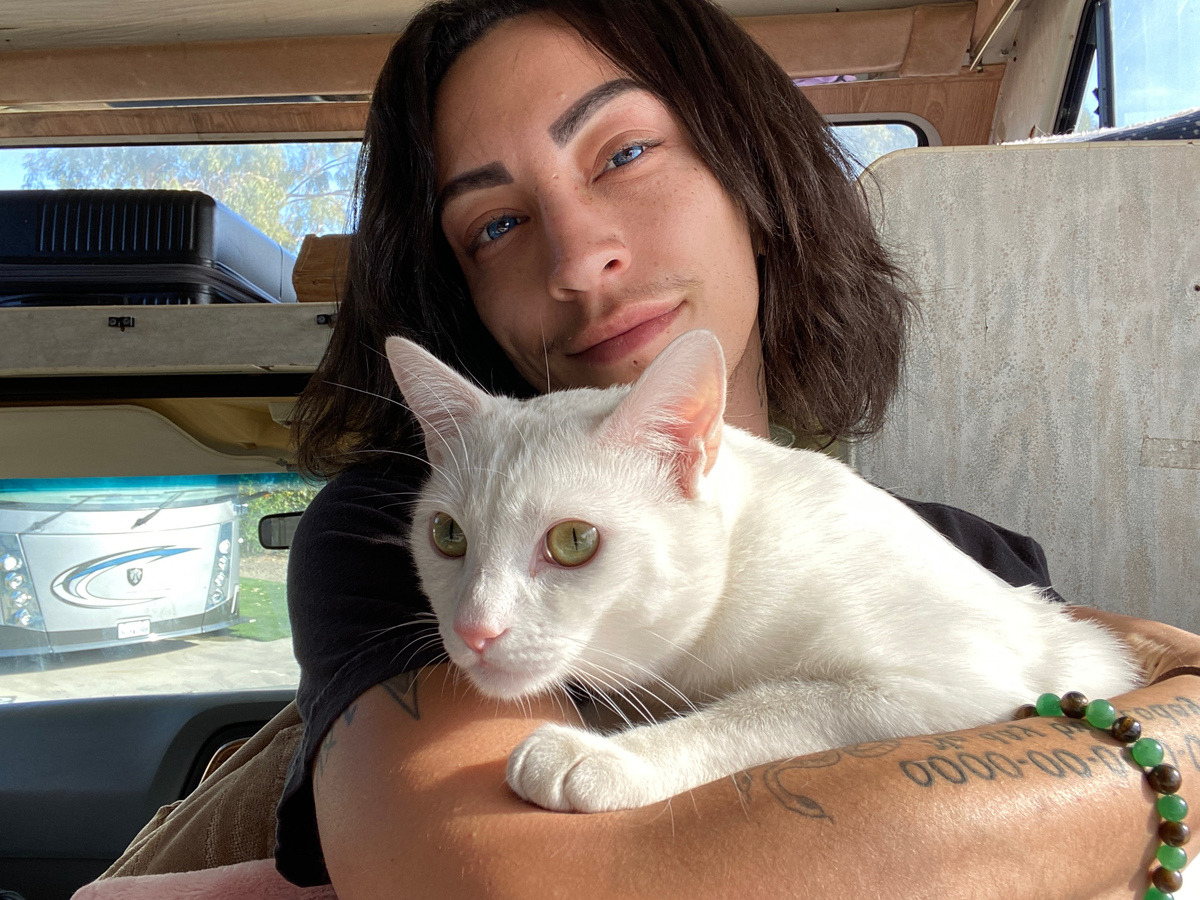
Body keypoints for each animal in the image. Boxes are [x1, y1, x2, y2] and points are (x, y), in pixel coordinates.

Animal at [384, 328, 1140, 814]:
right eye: (447, 535)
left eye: (573, 541)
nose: (473, 630)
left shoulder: (953, 683)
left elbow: (771, 706)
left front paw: (611, 756)